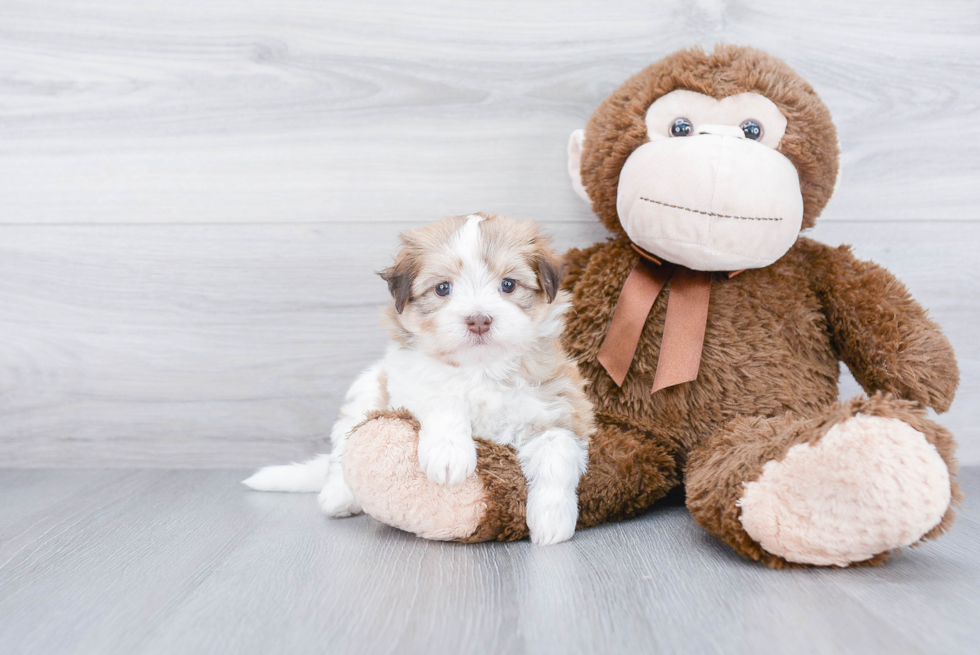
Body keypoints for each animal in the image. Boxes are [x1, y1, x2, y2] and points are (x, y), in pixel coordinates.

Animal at [245, 213, 596, 544]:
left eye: (508, 285)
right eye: (443, 288)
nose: (479, 320)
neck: (480, 369)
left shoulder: (560, 407)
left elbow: (559, 449)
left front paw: (553, 519)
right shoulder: (409, 380)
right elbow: (441, 397)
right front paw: (449, 454)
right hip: (365, 394)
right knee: (341, 454)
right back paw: (339, 497)